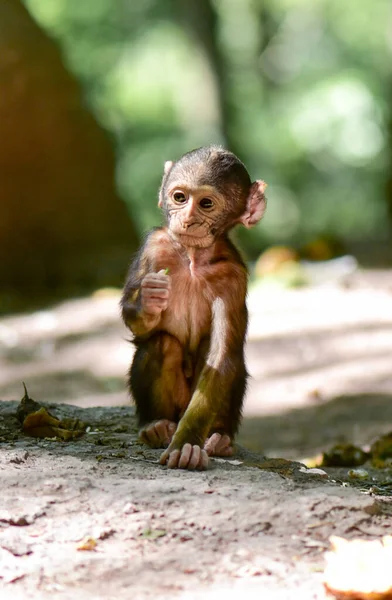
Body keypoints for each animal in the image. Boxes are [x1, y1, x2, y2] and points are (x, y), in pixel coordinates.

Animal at [121, 145, 266, 468]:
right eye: (180, 197)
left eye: (206, 203)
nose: (187, 220)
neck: (191, 257)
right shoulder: (154, 245)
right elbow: (130, 314)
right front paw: (148, 301)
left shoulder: (233, 277)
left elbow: (220, 356)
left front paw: (186, 444)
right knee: (161, 344)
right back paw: (156, 426)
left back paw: (218, 439)